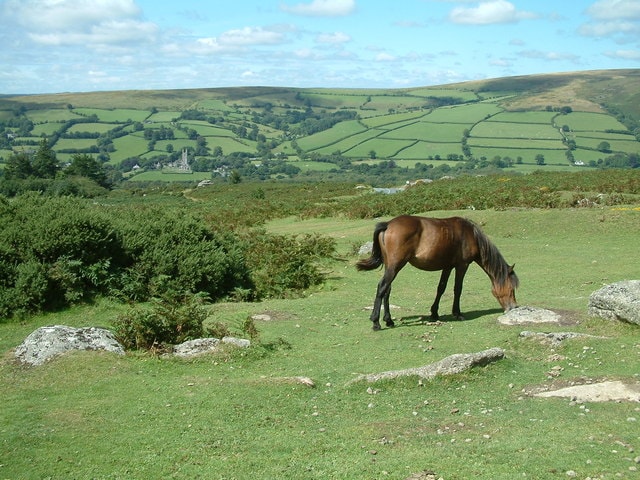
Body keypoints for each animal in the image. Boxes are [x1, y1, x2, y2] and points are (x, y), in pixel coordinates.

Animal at [356, 215, 519, 330]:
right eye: (511, 288)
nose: (513, 307)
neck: (471, 234)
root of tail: (388, 224)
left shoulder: (447, 267)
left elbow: (441, 288)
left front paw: (434, 313)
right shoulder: (462, 266)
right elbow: (457, 289)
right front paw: (457, 313)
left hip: (390, 266)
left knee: (387, 290)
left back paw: (389, 320)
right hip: (395, 266)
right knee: (382, 287)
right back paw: (376, 322)